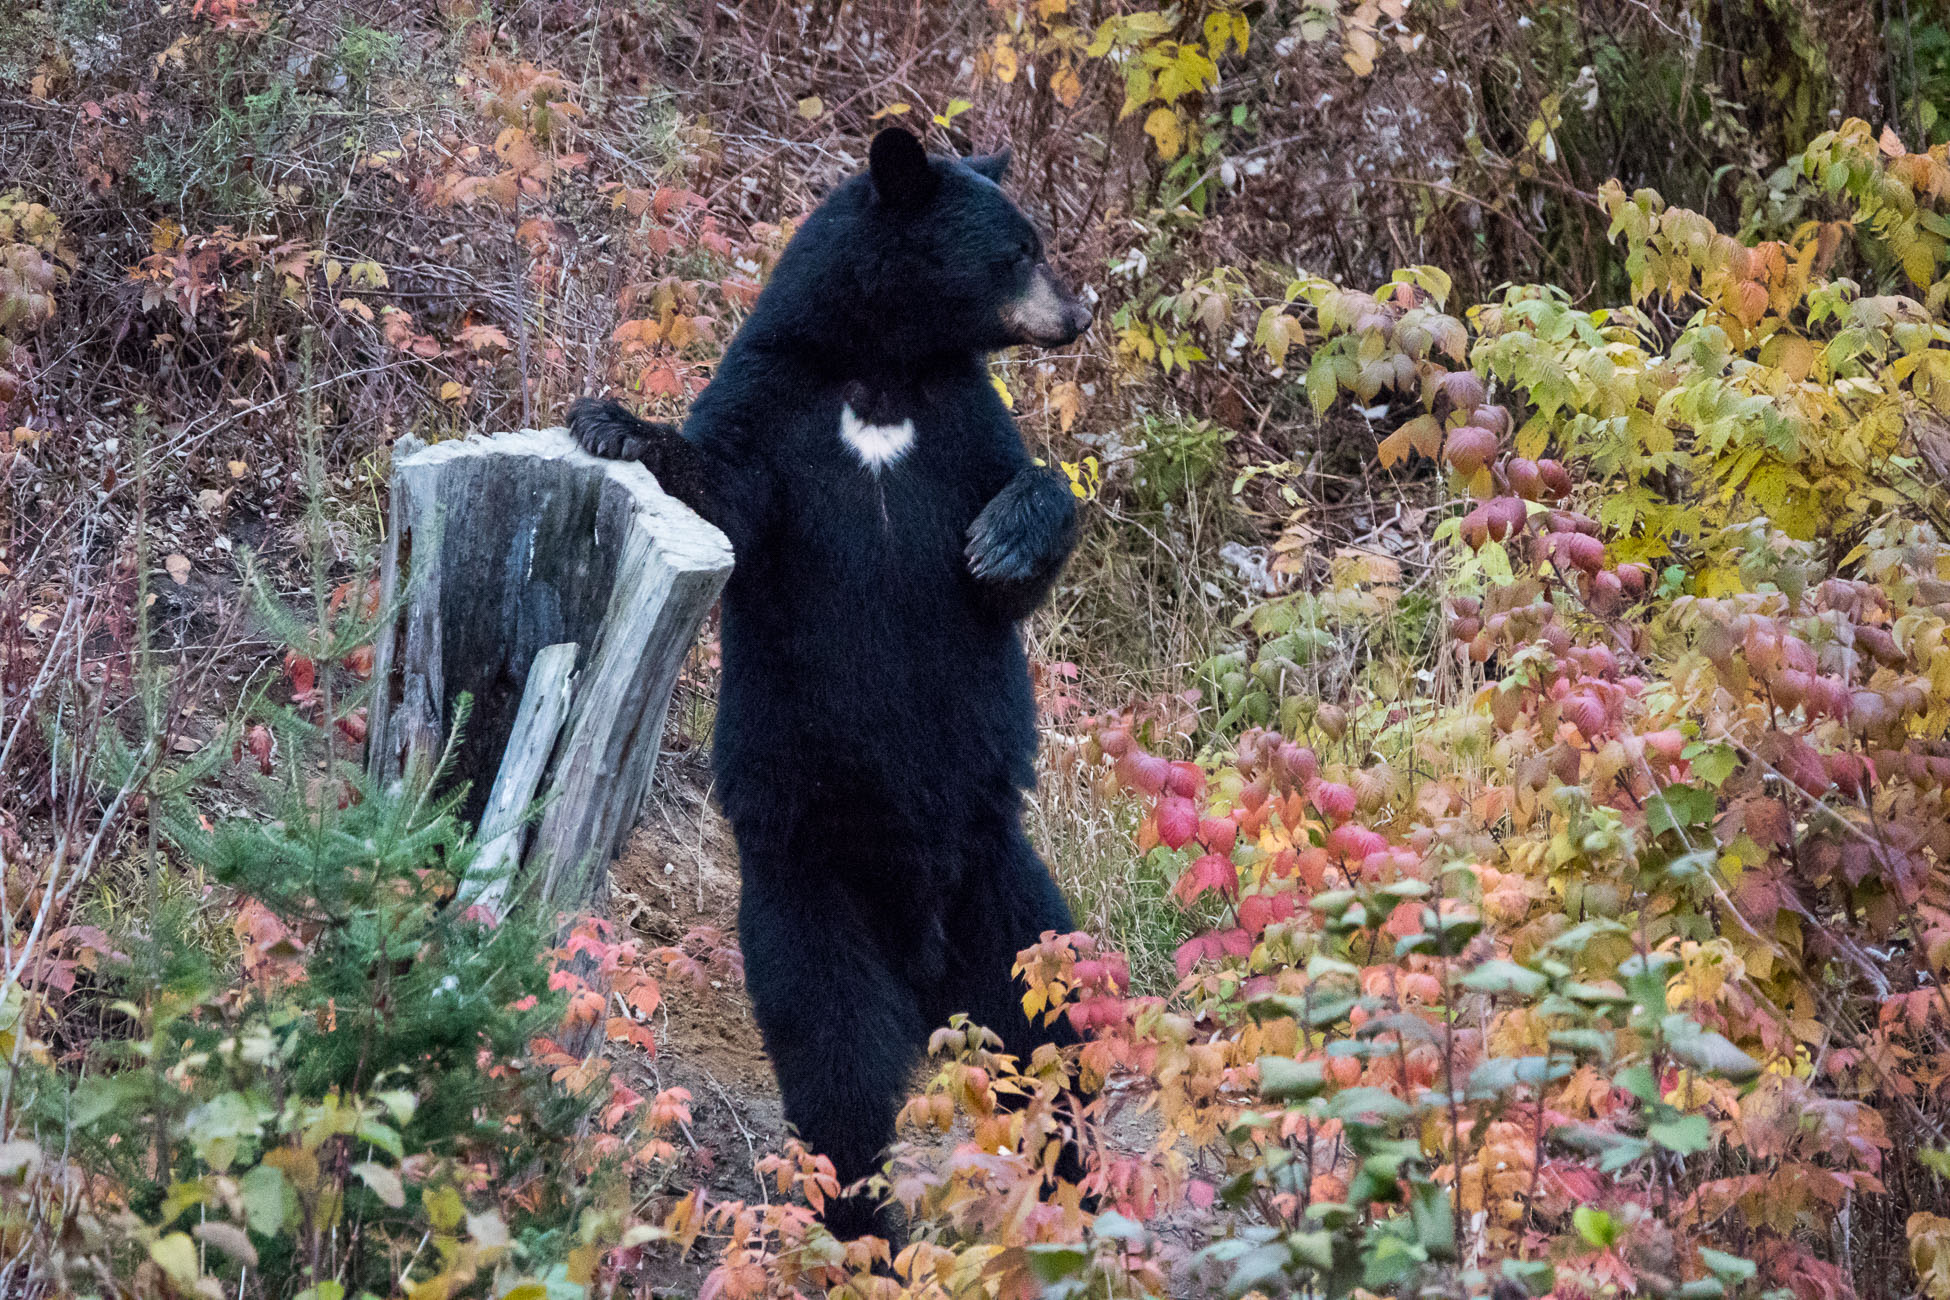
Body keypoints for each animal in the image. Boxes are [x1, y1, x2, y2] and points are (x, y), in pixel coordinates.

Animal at [569, 129, 1099, 1239]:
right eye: (1018, 250)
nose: (1080, 312)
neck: (880, 374)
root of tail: (927, 960)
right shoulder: (774, 406)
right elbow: (725, 488)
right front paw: (613, 421)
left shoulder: (961, 419)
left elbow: (1020, 503)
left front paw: (1002, 539)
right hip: (807, 897)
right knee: (841, 1073)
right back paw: (868, 1230)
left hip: (1012, 898)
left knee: (1061, 1038)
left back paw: (1081, 1188)